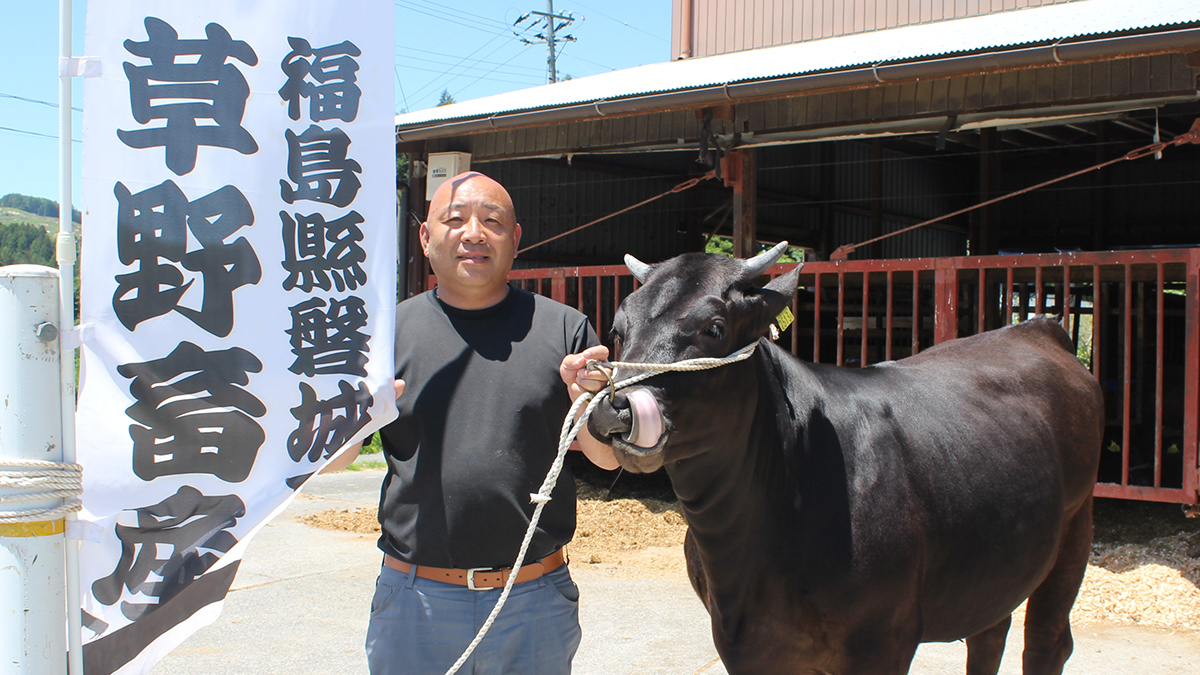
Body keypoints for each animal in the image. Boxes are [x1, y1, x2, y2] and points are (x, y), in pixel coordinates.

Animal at [585, 242, 1099, 672]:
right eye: (617, 328)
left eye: (714, 327)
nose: (615, 408)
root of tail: (1037, 327)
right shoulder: (744, 645)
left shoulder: (884, 640)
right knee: (989, 633)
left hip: (1075, 529)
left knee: (1047, 642)